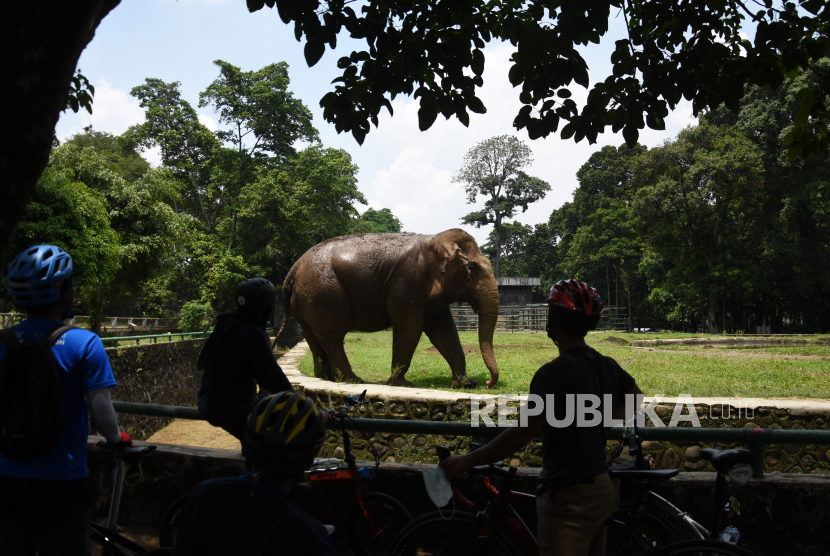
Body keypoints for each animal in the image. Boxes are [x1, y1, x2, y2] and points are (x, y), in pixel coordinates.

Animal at [272, 228, 500, 388]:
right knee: (332, 337)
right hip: (322, 293)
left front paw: (464, 384)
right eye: (471, 269)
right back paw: (353, 381)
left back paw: (326, 378)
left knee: (315, 338)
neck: (433, 240)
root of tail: (295, 267)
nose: (487, 382)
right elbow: (410, 328)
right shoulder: (407, 285)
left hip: (306, 300)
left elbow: (444, 331)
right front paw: (402, 384)